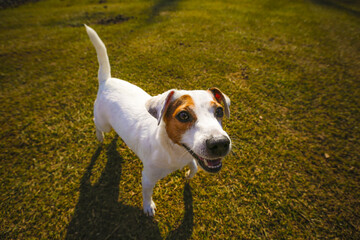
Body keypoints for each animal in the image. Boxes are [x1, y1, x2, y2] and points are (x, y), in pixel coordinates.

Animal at [84, 25, 232, 217]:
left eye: (220, 111)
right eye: (183, 115)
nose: (220, 144)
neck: (173, 151)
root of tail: (106, 80)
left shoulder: (191, 156)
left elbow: (194, 167)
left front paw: (188, 175)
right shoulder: (147, 178)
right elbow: (147, 193)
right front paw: (148, 206)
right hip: (103, 123)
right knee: (96, 123)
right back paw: (100, 137)